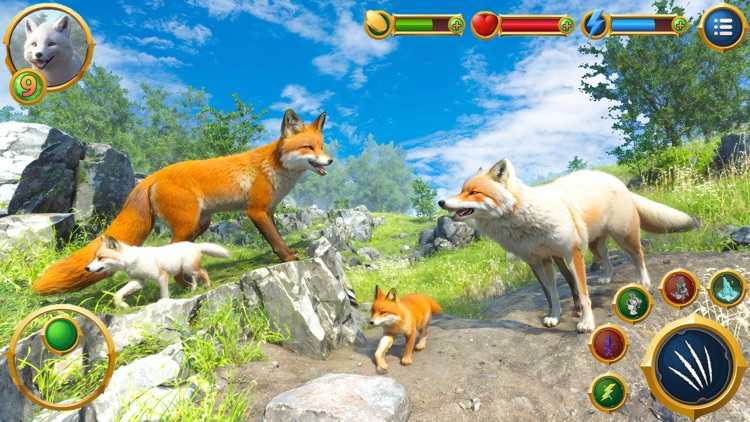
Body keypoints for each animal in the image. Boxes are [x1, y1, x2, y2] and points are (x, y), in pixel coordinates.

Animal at [32, 109, 331, 296]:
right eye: (308, 147)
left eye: (322, 146)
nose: (329, 161)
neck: (274, 167)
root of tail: (151, 177)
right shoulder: (256, 211)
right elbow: (275, 240)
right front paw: (286, 258)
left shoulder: (267, 211)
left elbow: (278, 236)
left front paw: (289, 253)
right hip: (189, 224)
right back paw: (186, 285)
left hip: (200, 224)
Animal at [85, 236, 230, 309]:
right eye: (95, 257)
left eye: (101, 258)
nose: (87, 268)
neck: (133, 260)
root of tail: (194, 244)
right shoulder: (138, 281)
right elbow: (117, 294)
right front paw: (123, 305)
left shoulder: (161, 276)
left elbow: (164, 295)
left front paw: (165, 304)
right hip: (182, 272)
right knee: (194, 280)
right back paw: (192, 292)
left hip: (190, 269)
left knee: (204, 272)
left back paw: (207, 287)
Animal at [439, 158, 699, 333]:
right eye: (461, 190)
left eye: (474, 192)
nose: (441, 202)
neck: (524, 217)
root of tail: (615, 179)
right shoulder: (542, 260)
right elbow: (552, 294)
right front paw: (554, 317)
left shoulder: (571, 253)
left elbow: (583, 295)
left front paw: (586, 323)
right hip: (594, 244)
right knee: (606, 257)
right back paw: (607, 277)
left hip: (623, 236)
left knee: (638, 254)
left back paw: (643, 281)